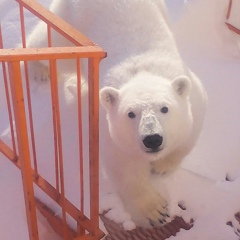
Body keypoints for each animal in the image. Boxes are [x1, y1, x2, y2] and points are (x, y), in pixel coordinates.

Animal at [25, 0, 206, 228]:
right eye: (130, 114)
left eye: (165, 108)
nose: (152, 139)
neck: (143, 73)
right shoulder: (111, 128)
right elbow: (126, 168)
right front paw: (155, 212)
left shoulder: (193, 99)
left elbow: (188, 135)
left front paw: (162, 166)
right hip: (74, 20)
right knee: (56, 44)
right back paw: (40, 68)